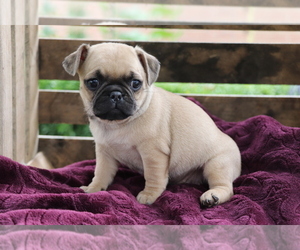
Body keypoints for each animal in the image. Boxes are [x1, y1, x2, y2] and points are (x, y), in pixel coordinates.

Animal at [62, 42, 241, 207]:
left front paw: (149, 195)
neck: (118, 124)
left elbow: (153, 176)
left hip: (217, 164)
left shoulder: (153, 153)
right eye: (93, 83)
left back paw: (212, 196)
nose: (116, 94)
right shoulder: (104, 152)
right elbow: (101, 172)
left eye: (135, 83)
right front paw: (94, 188)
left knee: (226, 187)